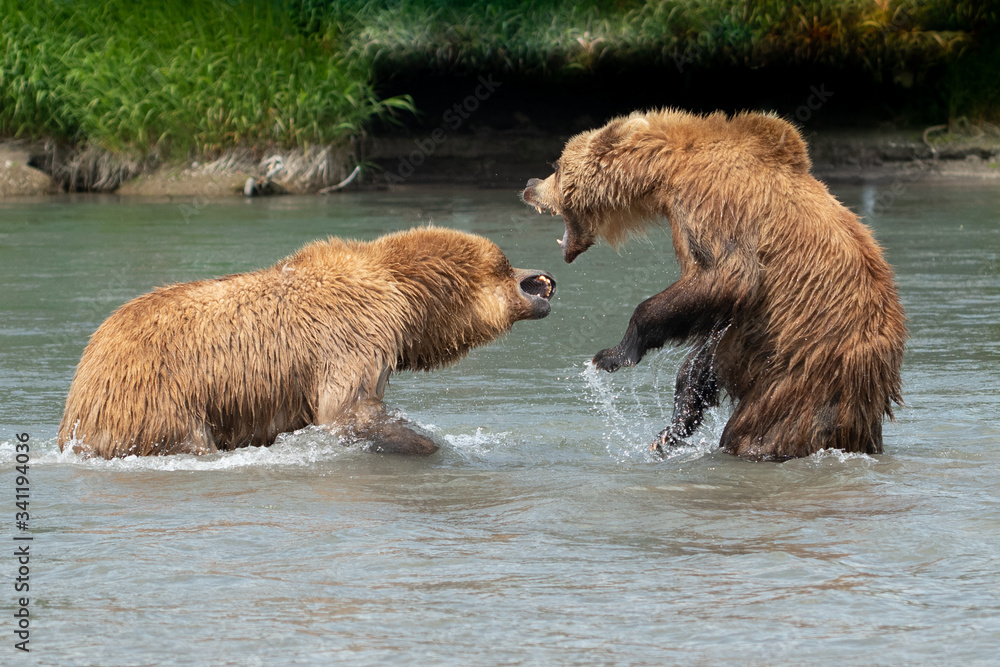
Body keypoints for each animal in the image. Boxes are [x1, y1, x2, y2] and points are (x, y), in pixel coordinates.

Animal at [58, 226, 555, 458]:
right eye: (503, 263)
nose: (541, 280)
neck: (406, 299)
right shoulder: (353, 335)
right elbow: (347, 410)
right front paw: (426, 441)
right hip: (158, 399)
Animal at [522, 108, 906, 460]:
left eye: (557, 165)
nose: (528, 184)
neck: (669, 171)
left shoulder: (714, 204)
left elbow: (726, 275)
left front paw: (614, 354)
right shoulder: (744, 325)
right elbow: (708, 351)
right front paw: (672, 428)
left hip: (804, 373)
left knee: (763, 428)